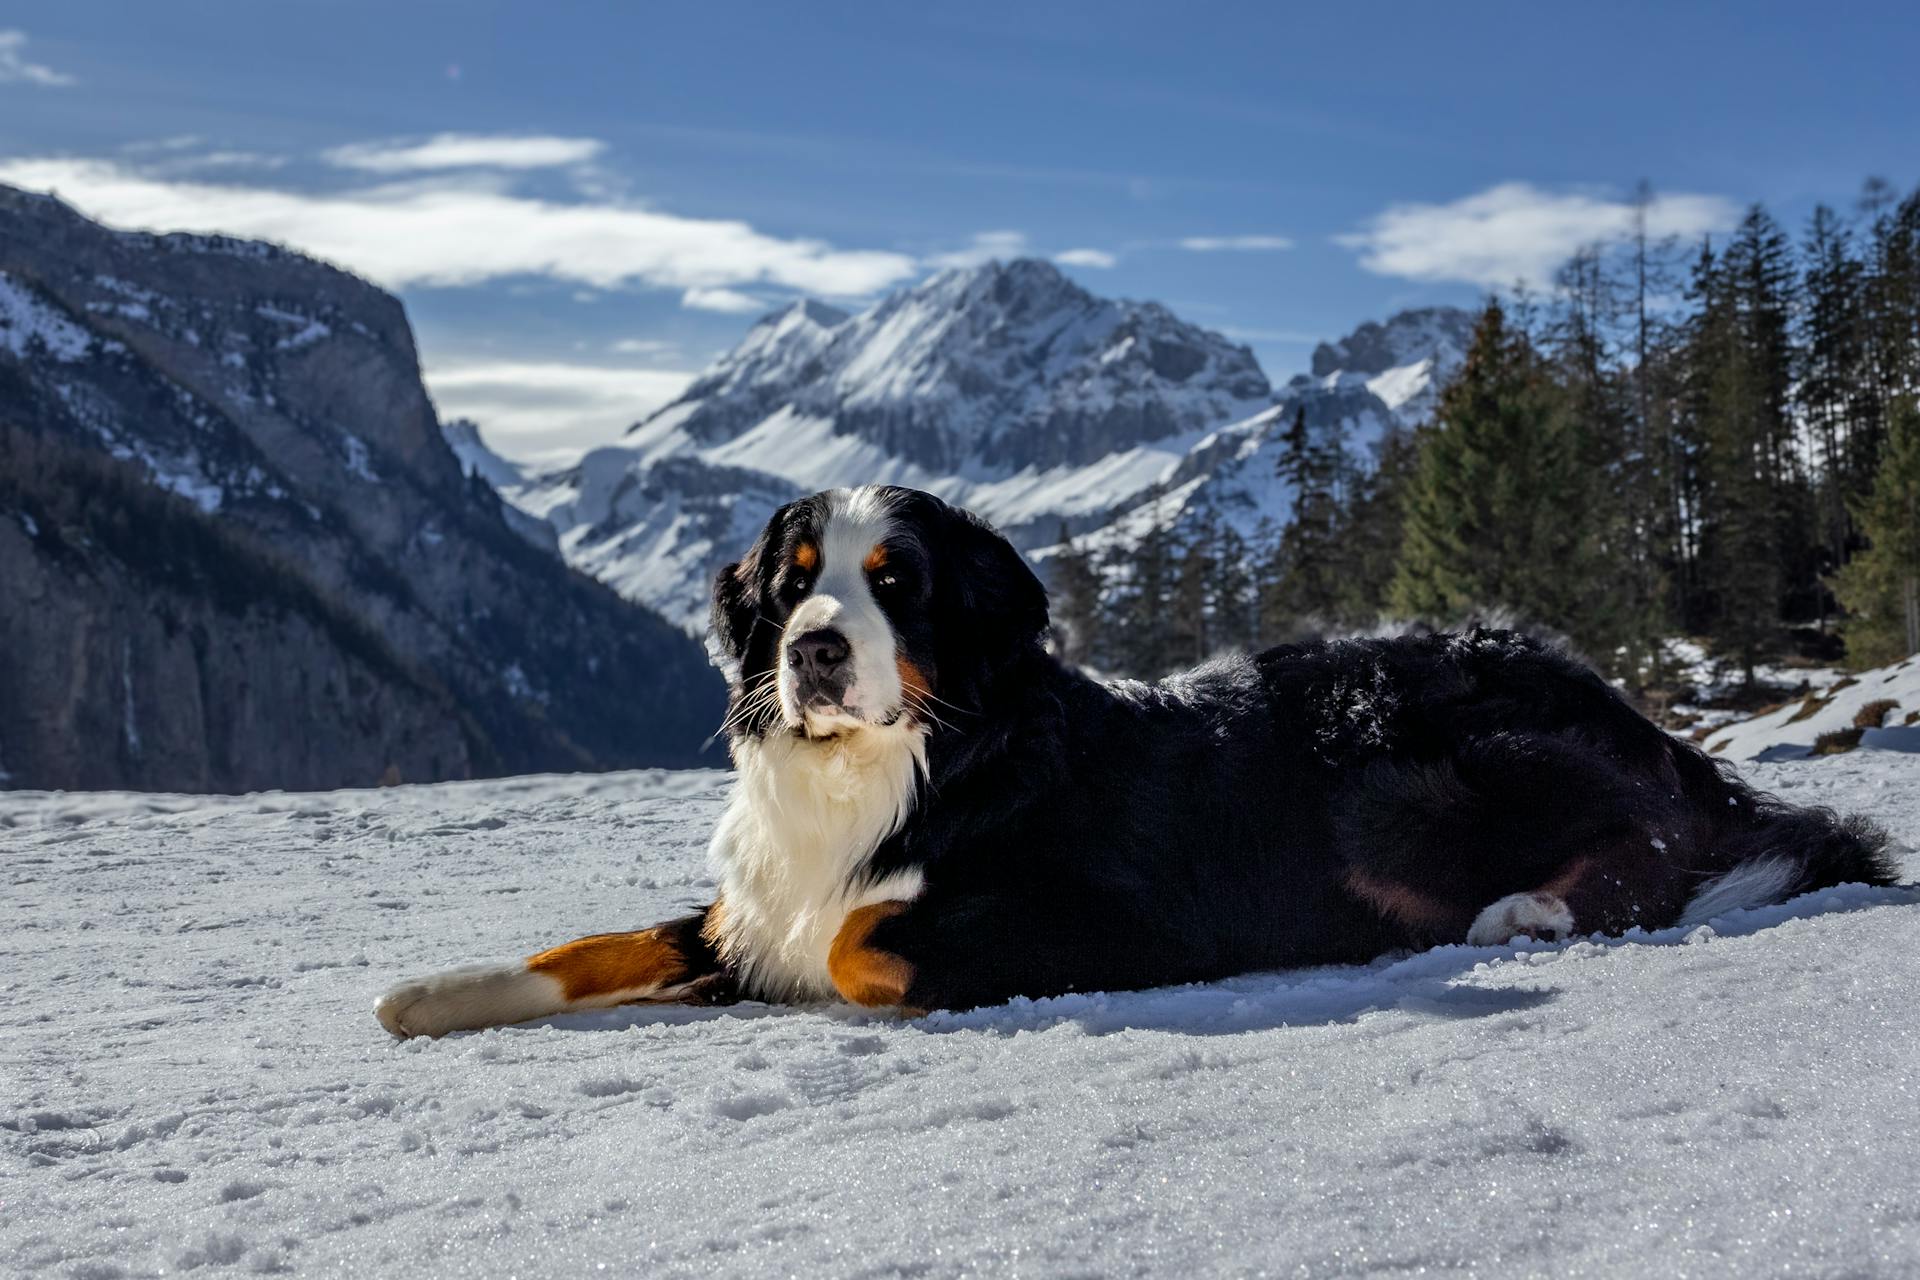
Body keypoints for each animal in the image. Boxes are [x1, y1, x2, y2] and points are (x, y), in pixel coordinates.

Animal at [370, 485, 1889, 1036]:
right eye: (795, 580)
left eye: (894, 582)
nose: (812, 649)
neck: (906, 764)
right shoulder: (760, 899)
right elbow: (606, 941)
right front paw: (432, 994)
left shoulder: (1110, 920)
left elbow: (861, 942)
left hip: (1392, 767)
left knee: (1666, 855)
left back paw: (1526, 912)